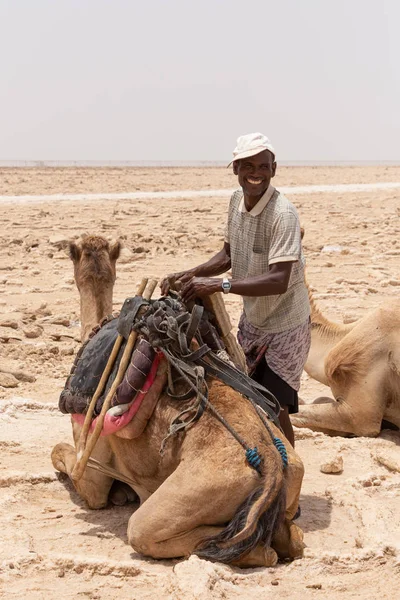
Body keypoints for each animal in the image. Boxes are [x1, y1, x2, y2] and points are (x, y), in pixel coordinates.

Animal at [51, 234, 304, 568]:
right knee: (292, 538)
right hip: (294, 471)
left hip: (196, 491)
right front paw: (123, 493)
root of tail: (272, 464)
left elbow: (61, 455)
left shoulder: (90, 464)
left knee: (151, 532)